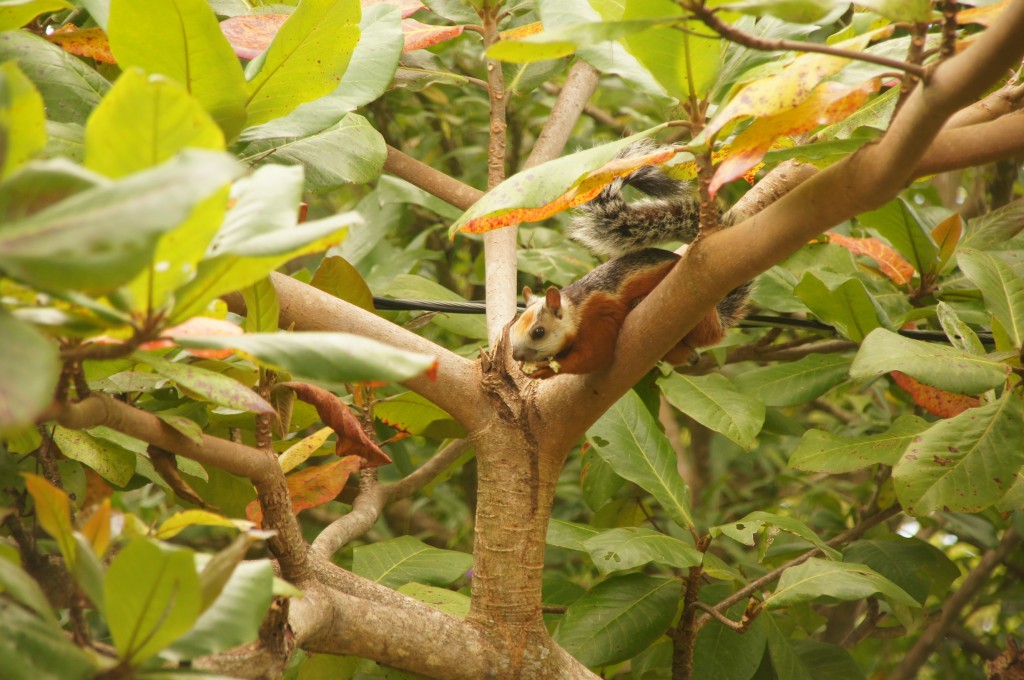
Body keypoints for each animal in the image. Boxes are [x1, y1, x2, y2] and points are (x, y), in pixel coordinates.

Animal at [510, 139, 750, 379]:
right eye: (513, 327)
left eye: (538, 332)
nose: (515, 356)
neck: (575, 309)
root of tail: (718, 322)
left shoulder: (598, 315)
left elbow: (596, 356)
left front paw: (546, 369)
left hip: (696, 316)